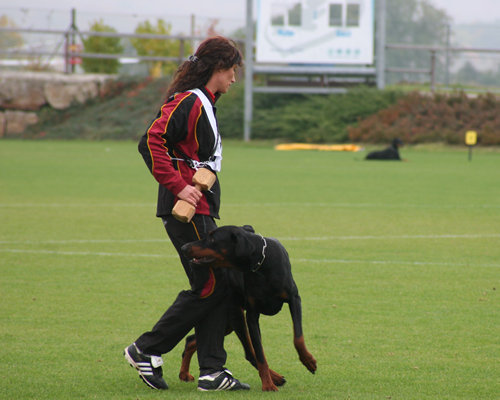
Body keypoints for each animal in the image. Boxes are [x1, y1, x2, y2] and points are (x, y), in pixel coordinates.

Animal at [181, 225, 316, 390]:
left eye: (212, 238)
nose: (184, 247)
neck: (262, 265)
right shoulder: (252, 315)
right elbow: (259, 353)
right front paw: (268, 385)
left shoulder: (294, 299)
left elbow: (298, 338)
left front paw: (308, 360)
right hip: (236, 315)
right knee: (250, 353)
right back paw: (275, 377)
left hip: (229, 322)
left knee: (192, 340)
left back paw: (184, 374)